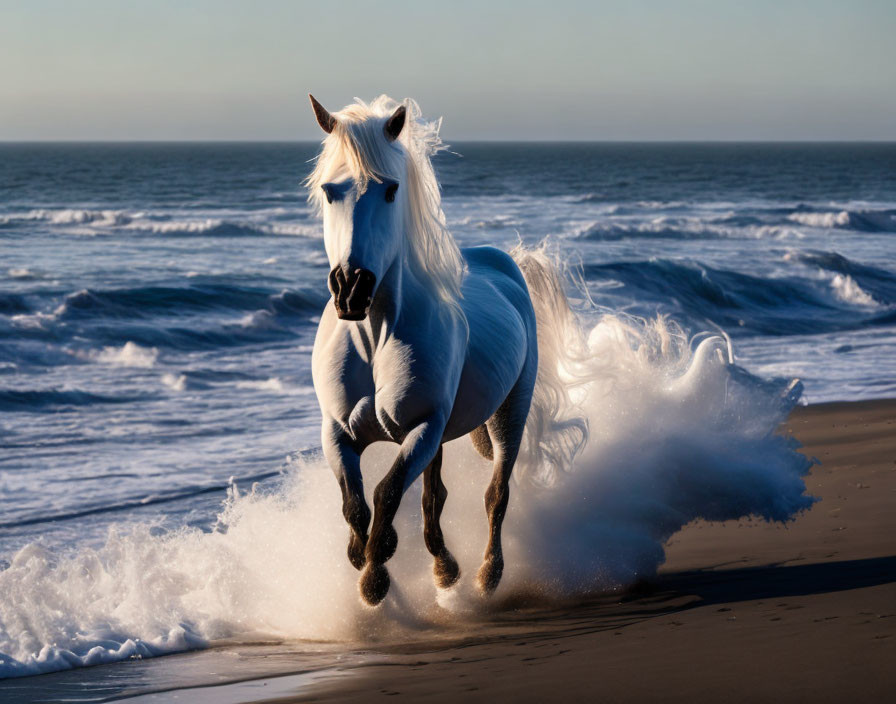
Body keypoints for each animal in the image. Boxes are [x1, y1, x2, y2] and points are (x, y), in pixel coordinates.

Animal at [308, 95, 584, 604]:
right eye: (329, 190)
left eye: (390, 190)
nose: (351, 290)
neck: (376, 338)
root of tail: (505, 262)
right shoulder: (338, 432)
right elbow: (355, 504)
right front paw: (365, 559)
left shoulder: (422, 427)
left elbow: (386, 493)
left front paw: (375, 580)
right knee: (434, 497)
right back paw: (444, 569)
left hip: (508, 414)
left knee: (496, 493)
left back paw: (486, 574)